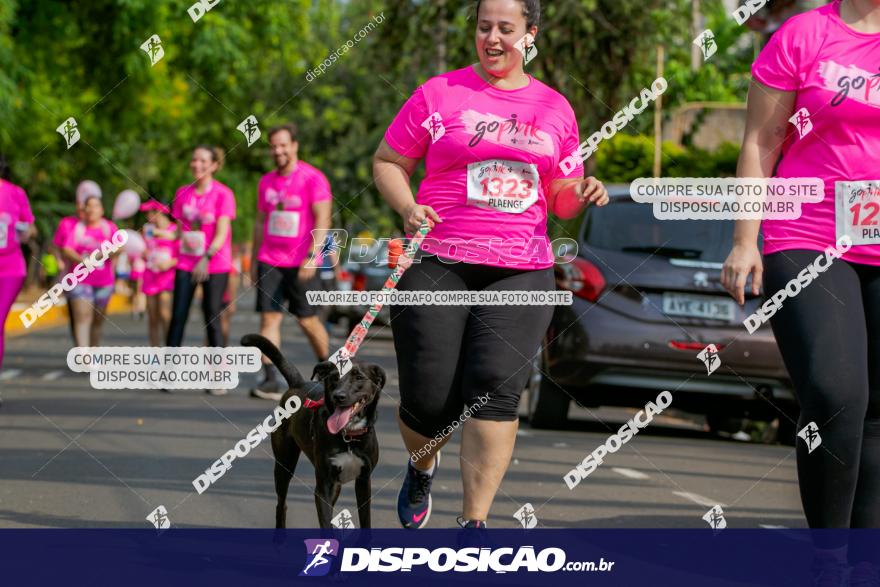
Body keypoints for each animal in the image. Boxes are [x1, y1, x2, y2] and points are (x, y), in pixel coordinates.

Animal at [244, 334, 388, 532]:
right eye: (334, 377)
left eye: (359, 377)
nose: (339, 396)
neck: (348, 436)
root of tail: (298, 383)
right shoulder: (323, 486)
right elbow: (325, 521)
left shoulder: (364, 482)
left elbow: (365, 522)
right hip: (284, 465)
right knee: (281, 504)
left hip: (335, 485)